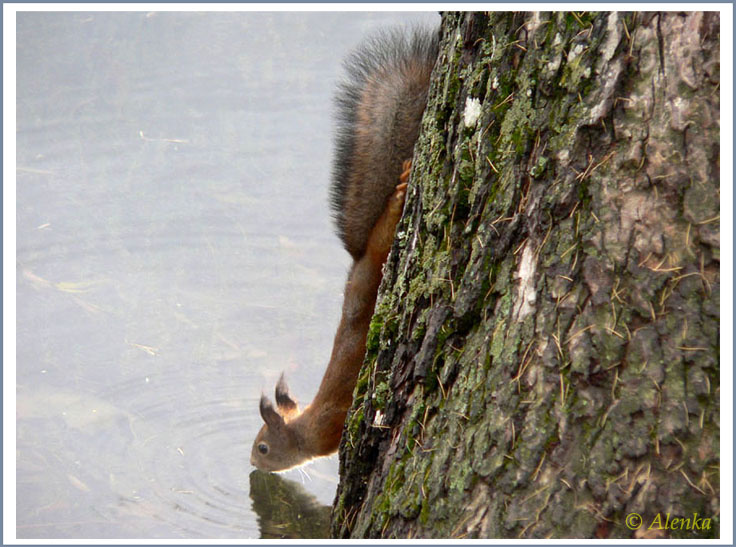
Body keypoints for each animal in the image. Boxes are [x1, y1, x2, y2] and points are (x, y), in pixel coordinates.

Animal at [250, 26, 439, 472]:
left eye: (263, 447)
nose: (252, 463)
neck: (305, 428)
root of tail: (359, 259)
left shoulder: (333, 426)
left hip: (380, 252)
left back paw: (400, 191)